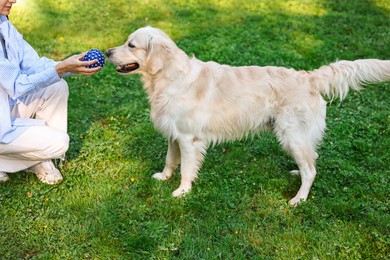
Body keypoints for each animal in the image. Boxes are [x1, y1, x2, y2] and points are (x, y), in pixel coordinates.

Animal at [106, 25, 390, 205]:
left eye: (131, 44)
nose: (107, 52)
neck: (169, 77)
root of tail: (309, 77)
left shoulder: (188, 139)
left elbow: (186, 168)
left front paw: (182, 191)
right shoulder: (173, 135)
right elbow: (169, 160)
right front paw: (164, 178)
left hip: (291, 134)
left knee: (311, 170)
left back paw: (299, 199)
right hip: (298, 138)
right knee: (311, 161)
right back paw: (296, 174)